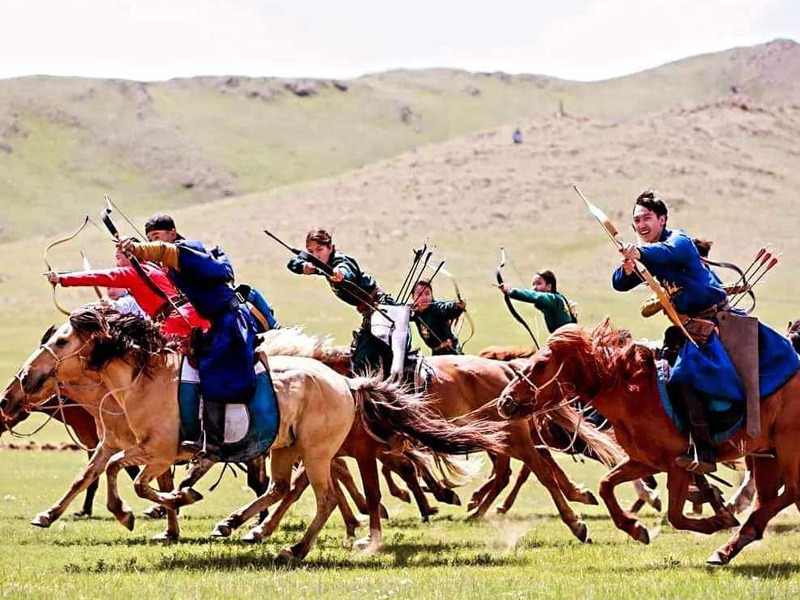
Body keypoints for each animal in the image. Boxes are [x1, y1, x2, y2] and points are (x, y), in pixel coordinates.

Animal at [0, 304, 504, 564]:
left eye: (61, 341)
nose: (20, 383)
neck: (142, 381)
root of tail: (347, 383)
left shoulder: (158, 451)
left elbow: (135, 480)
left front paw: (155, 508)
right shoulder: (123, 444)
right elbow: (97, 475)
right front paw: (60, 515)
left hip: (317, 452)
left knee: (322, 495)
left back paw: (297, 546)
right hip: (288, 448)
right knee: (285, 487)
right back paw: (246, 525)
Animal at [494, 322, 800, 564]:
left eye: (540, 365)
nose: (504, 402)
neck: (632, 394)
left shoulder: (678, 466)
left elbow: (676, 515)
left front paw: (717, 519)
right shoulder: (646, 461)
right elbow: (606, 485)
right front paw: (634, 528)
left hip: (788, 449)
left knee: (791, 493)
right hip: (768, 454)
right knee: (769, 500)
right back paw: (729, 546)